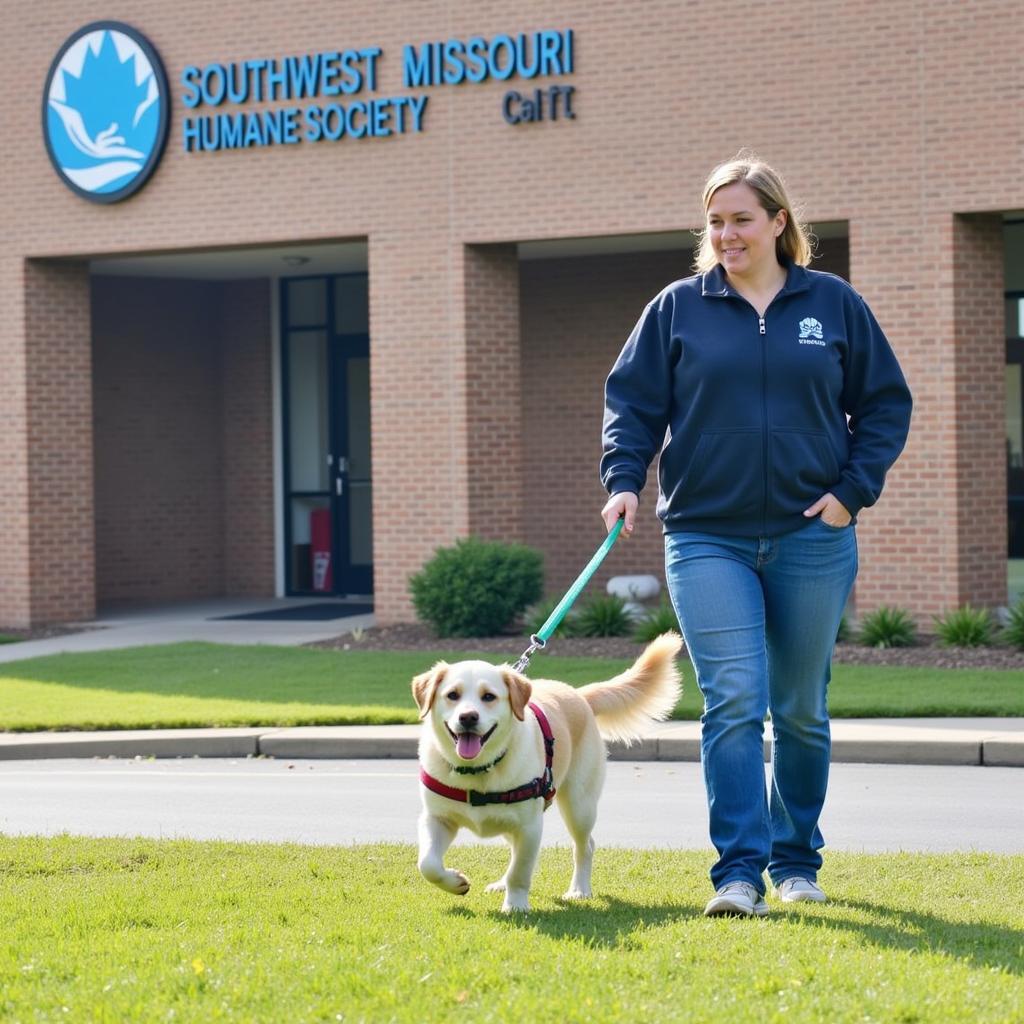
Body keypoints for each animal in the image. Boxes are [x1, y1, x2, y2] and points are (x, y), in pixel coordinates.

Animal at [411, 630, 684, 913]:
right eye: (452, 695)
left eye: (488, 697)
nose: (467, 717)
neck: (479, 769)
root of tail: (578, 694)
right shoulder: (436, 819)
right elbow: (428, 864)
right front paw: (456, 882)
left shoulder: (530, 826)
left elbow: (520, 870)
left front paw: (516, 905)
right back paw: (501, 884)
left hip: (579, 805)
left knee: (585, 846)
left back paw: (579, 889)